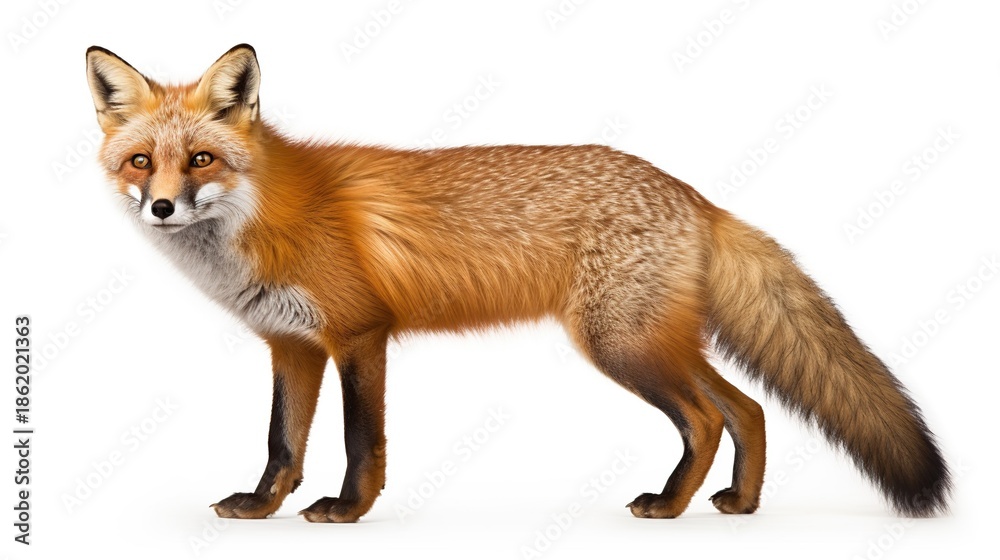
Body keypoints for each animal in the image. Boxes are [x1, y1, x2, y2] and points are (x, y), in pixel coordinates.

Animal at [85, 44, 950, 522]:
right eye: (142, 161)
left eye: (201, 160)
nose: (162, 207)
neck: (264, 217)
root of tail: (694, 194)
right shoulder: (292, 346)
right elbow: (281, 443)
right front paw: (264, 508)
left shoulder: (360, 335)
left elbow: (361, 440)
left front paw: (346, 511)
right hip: (656, 341)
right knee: (751, 409)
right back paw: (739, 505)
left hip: (623, 346)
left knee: (709, 419)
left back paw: (669, 506)